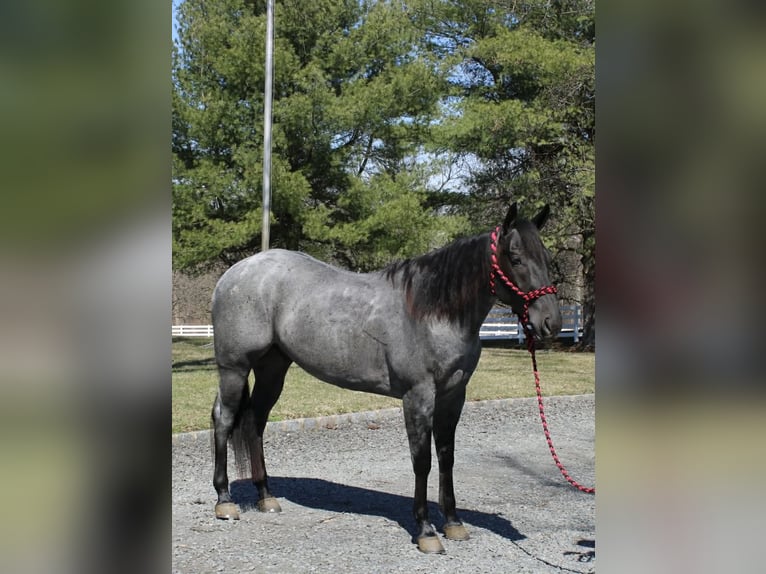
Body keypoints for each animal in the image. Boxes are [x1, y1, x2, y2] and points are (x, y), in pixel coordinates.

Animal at [210, 202, 562, 554]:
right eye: (515, 258)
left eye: (547, 257)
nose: (551, 322)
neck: (432, 313)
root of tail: (235, 272)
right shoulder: (418, 396)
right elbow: (422, 461)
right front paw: (426, 531)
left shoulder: (453, 396)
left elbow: (446, 457)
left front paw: (453, 523)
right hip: (234, 368)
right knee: (224, 419)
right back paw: (224, 501)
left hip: (273, 368)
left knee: (255, 421)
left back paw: (265, 496)